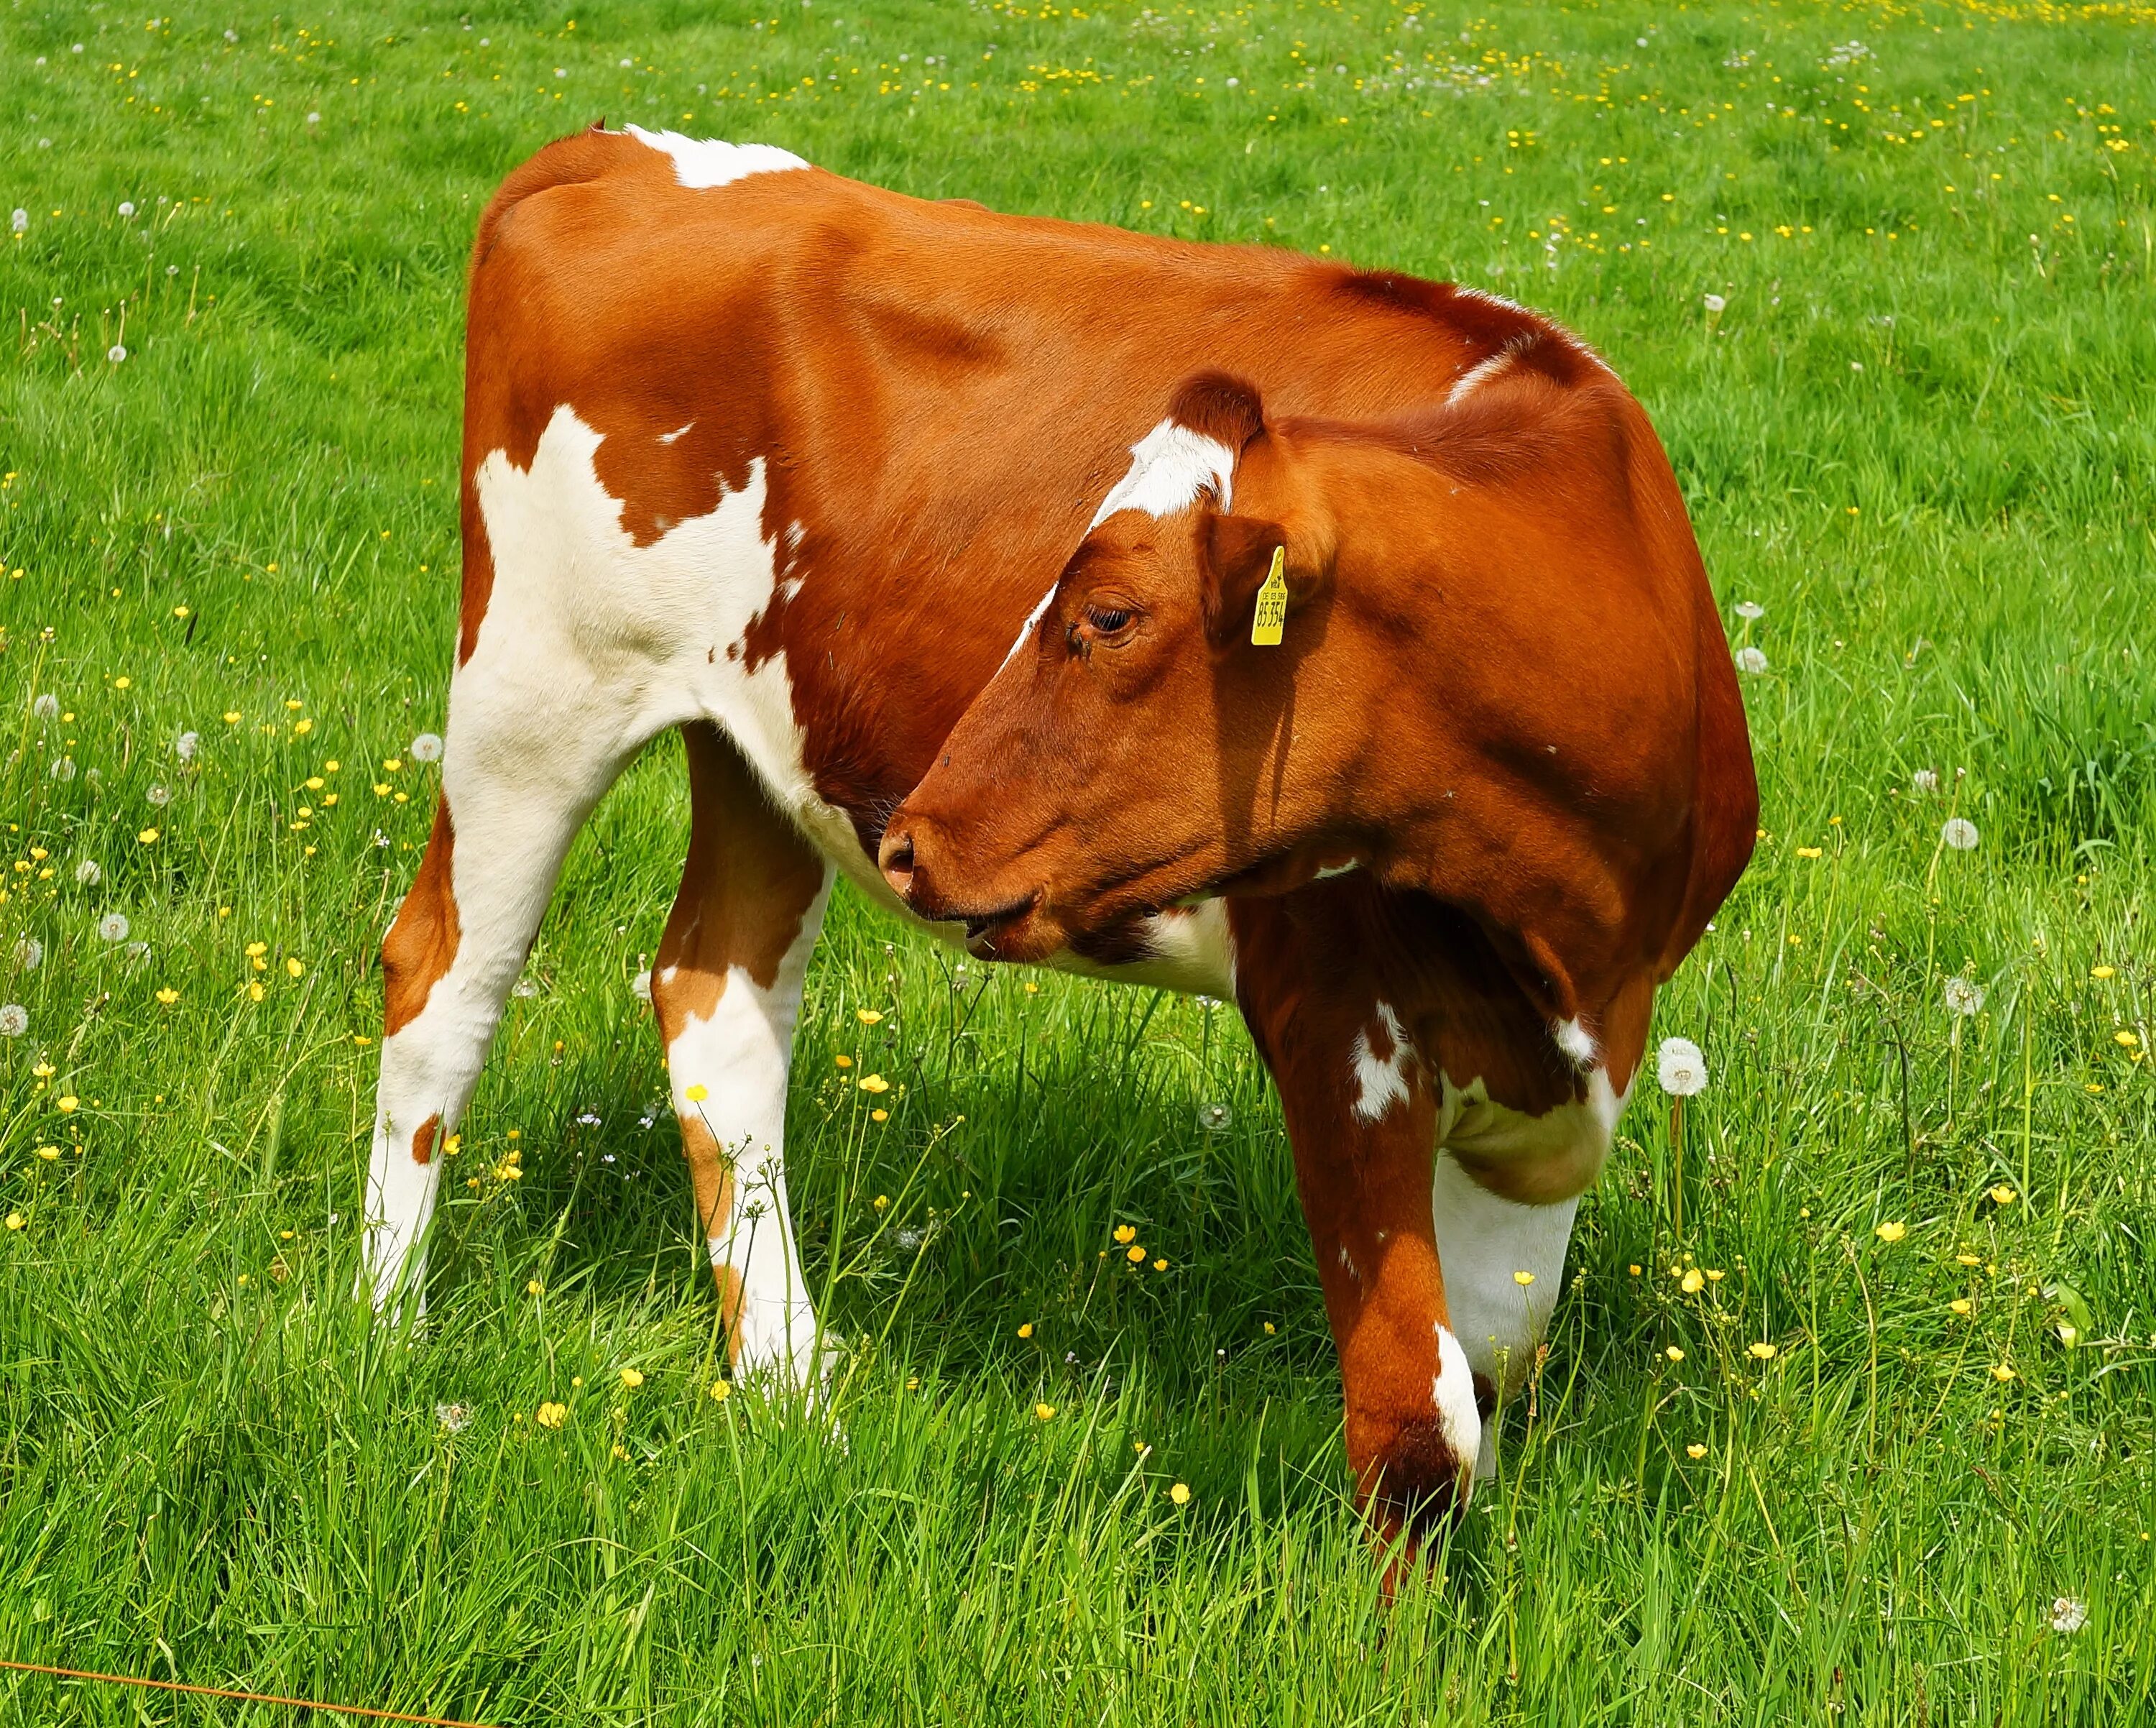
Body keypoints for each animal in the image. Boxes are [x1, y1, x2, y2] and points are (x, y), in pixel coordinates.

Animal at [364, 124, 1757, 1559]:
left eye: (1106, 615)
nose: (916, 837)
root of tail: (616, 151)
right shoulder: (1335, 1014)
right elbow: (1420, 1429)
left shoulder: (1564, 1068)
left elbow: (1494, 1361)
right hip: (535, 685)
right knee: (442, 981)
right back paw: (391, 1335)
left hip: (757, 739)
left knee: (718, 1004)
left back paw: (794, 1391)